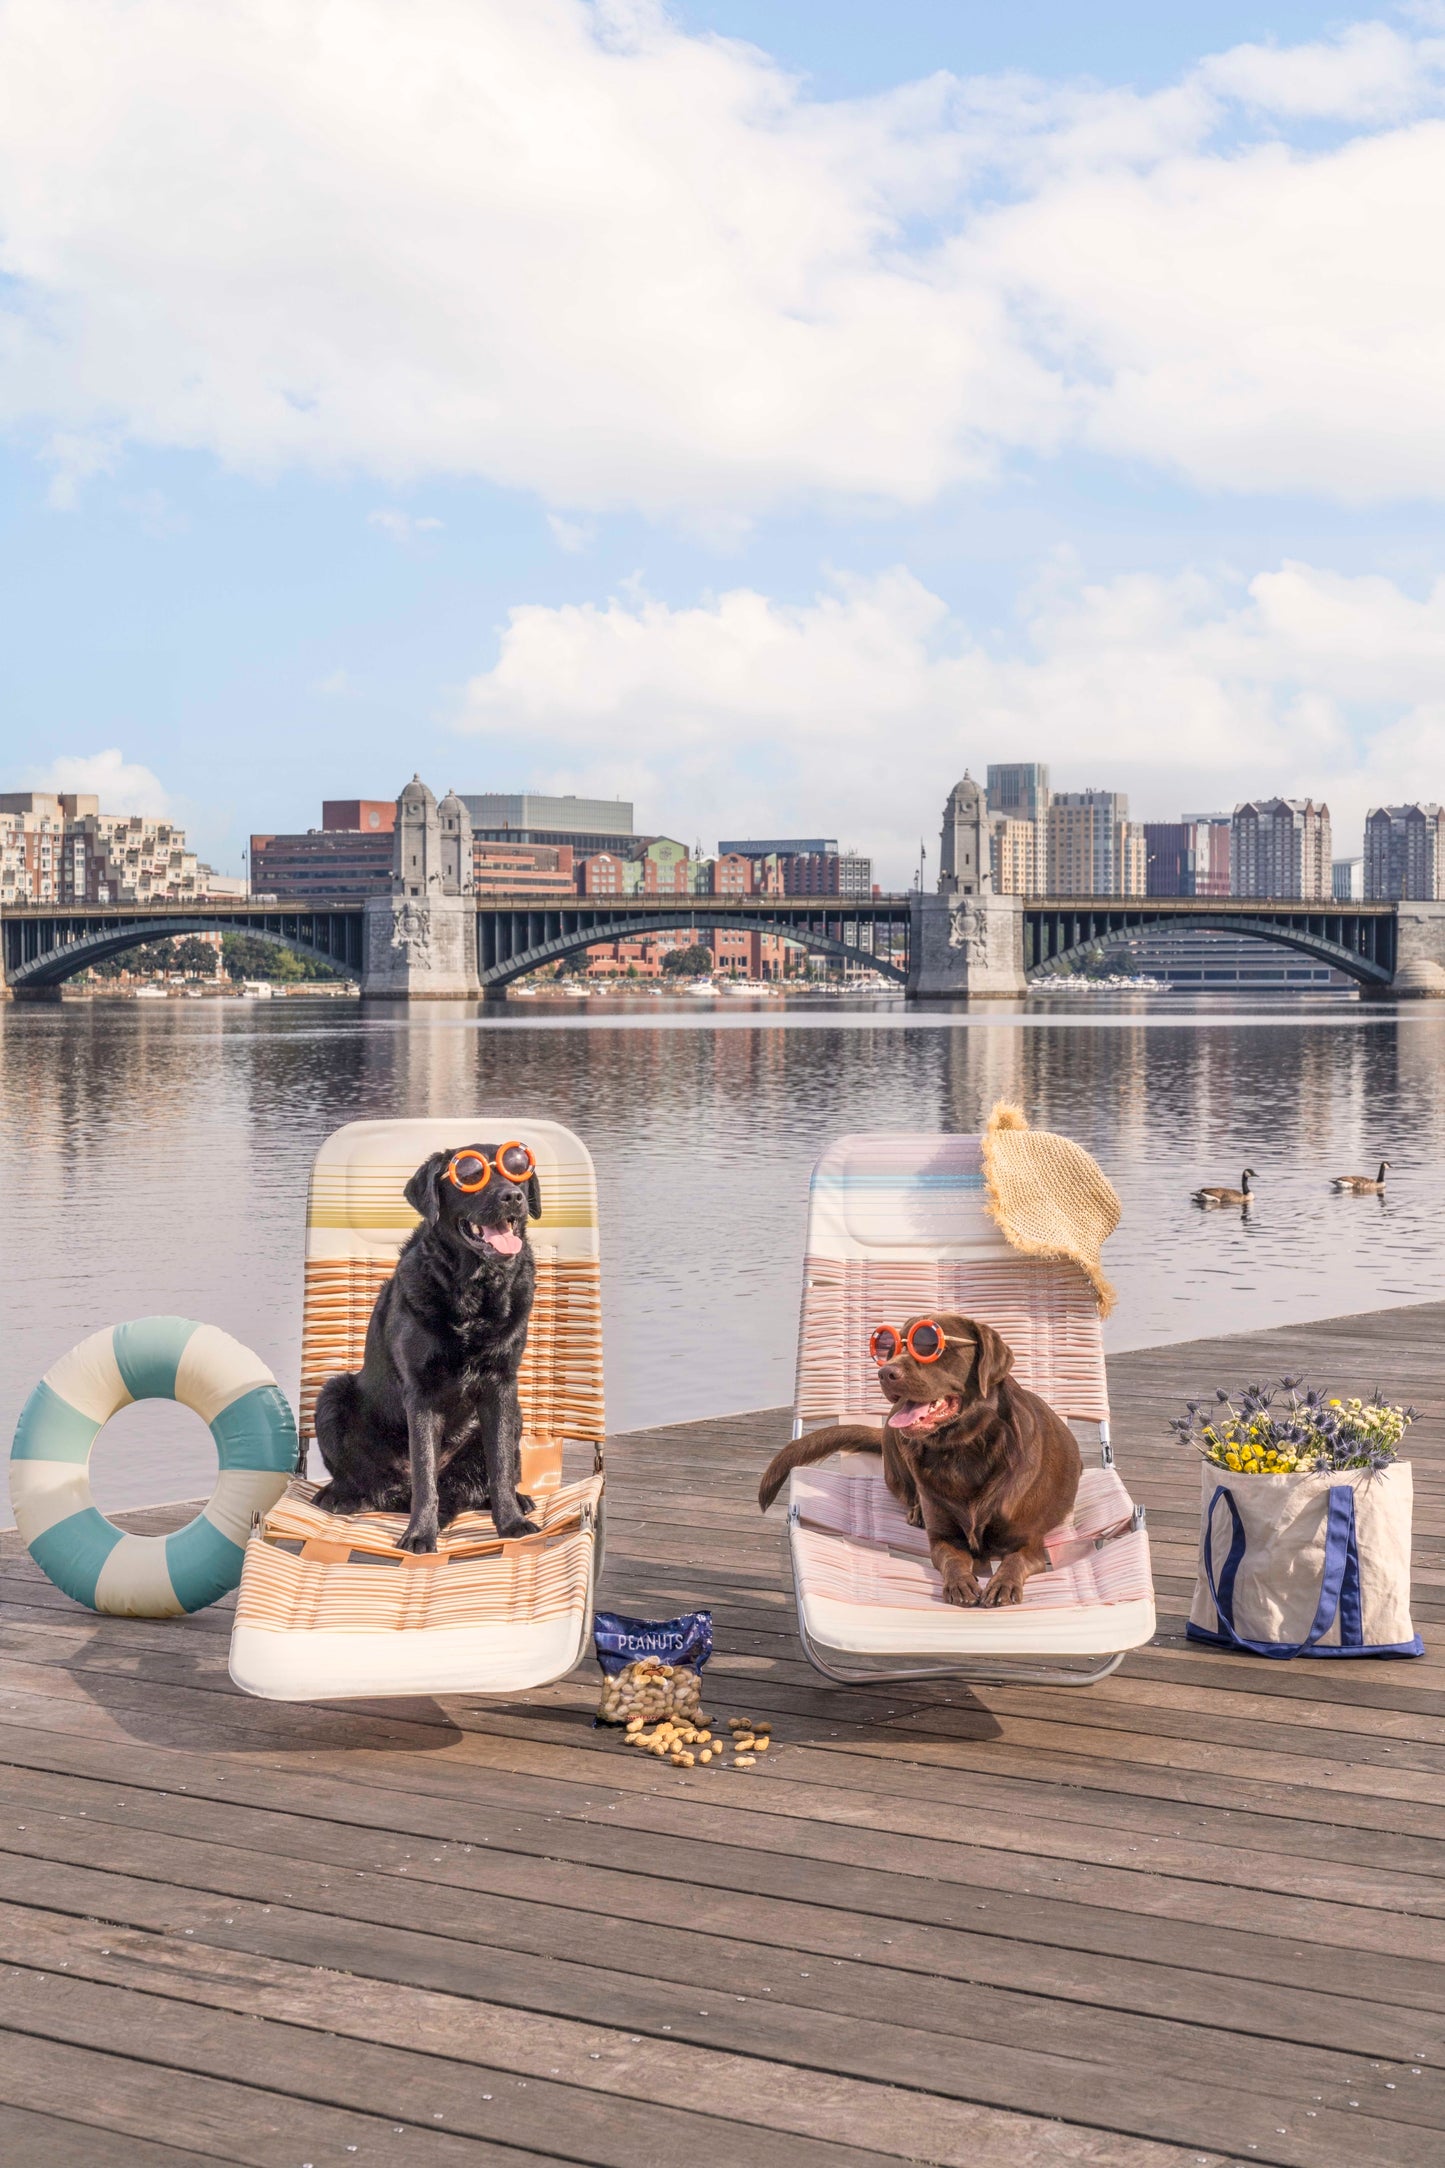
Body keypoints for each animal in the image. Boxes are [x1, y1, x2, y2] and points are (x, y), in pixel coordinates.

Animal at [314, 1144, 541, 1552]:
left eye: (517, 1168)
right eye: (470, 1174)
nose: (513, 1197)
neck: (474, 1293)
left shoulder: (501, 1386)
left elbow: (500, 1466)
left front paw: (511, 1523)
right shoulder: (421, 1393)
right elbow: (424, 1474)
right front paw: (420, 1533)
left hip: (515, 1413)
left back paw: (519, 1500)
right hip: (332, 1394)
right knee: (366, 1480)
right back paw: (338, 1496)